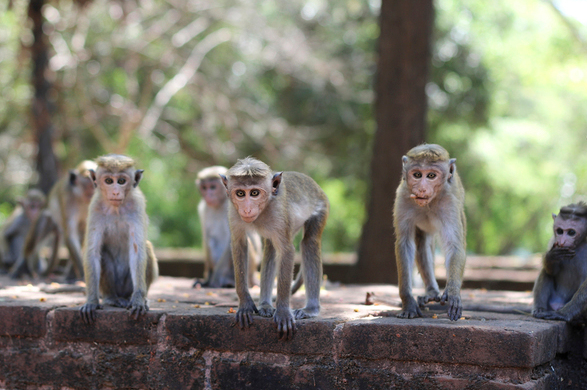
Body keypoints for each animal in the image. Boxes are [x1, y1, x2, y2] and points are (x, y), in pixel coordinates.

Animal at [80, 154, 160, 324]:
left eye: (122, 181)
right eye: (109, 181)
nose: (116, 192)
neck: (116, 209)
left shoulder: (137, 205)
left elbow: (138, 251)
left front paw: (138, 300)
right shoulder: (95, 207)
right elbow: (93, 252)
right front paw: (91, 301)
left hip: (127, 286)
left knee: (147, 248)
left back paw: (137, 299)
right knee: (103, 253)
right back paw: (112, 299)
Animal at [222, 157, 330, 340]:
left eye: (255, 193)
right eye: (240, 194)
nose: (247, 209)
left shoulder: (279, 214)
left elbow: (287, 251)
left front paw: (283, 312)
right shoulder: (233, 212)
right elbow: (239, 244)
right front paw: (245, 304)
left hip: (321, 207)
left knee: (309, 242)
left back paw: (311, 309)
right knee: (271, 248)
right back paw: (265, 305)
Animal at [396, 145, 468, 322]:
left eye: (431, 176)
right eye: (417, 175)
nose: (421, 188)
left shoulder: (450, 203)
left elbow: (454, 246)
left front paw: (453, 293)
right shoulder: (402, 198)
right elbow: (405, 245)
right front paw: (408, 302)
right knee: (421, 242)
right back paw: (431, 292)